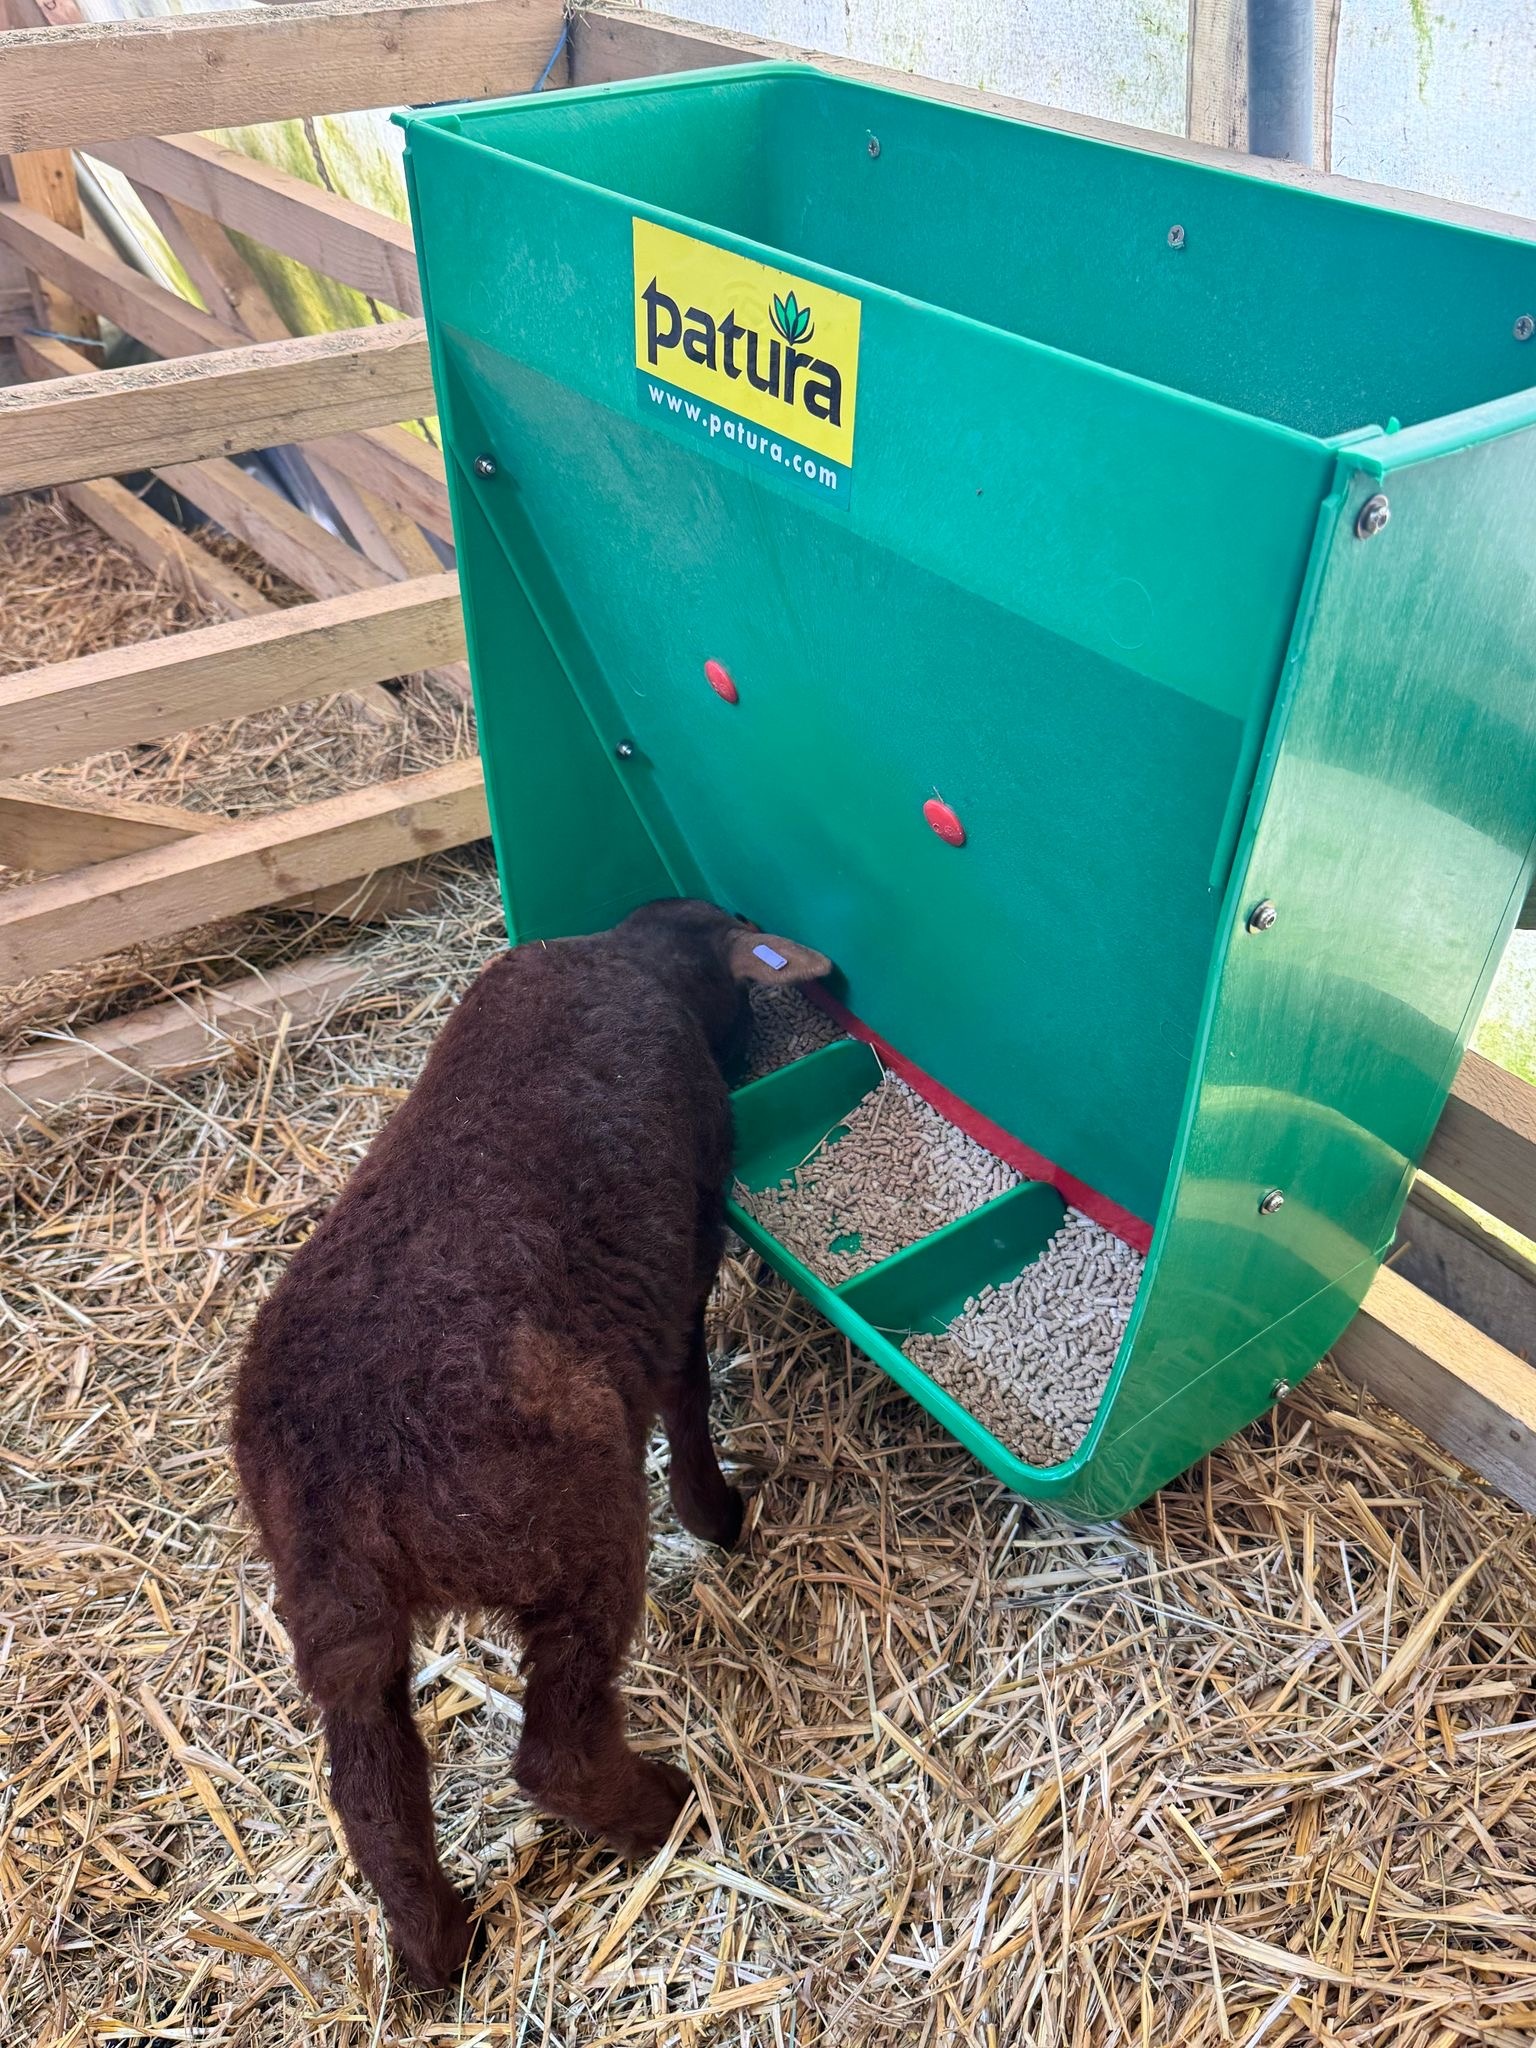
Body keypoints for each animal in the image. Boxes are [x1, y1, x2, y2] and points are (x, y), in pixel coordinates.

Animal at [232, 899, 830, 1989]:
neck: (638, 954)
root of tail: (341, 1477)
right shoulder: (687, 1240)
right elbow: (686, 1383)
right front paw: (715, 1513)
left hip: (334, 1619)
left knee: (370, 1787)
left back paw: (434, 1946)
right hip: (568, 1523)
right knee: (555, 1749)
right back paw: (664, 1809)